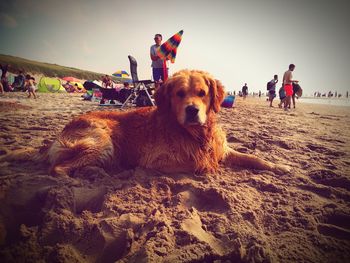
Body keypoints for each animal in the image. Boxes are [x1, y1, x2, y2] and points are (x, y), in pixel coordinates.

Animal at [2, 69, 288, 177]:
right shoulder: (156, 160)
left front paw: (279, 166)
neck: (195, 133)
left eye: (202, 93)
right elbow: (199, 162)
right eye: (179, 94)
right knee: (58, 169)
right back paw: (95, 172)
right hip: (102, 139)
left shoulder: (223, 149)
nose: (192, 110)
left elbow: (253, 157)